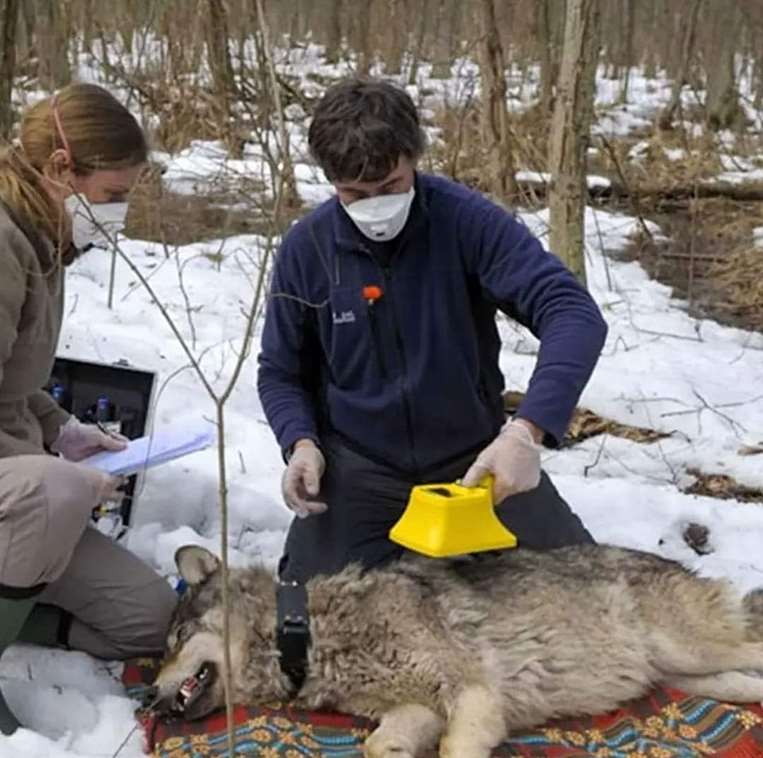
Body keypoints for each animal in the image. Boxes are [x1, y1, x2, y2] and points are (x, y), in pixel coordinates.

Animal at [152, 544, 763, 758]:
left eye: (175, 642)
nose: (149, 698)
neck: (310, 633)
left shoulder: (473, 693)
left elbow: (454, 749)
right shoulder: (417, 708)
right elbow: (379, 746)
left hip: (692, 649)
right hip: (690, 675)